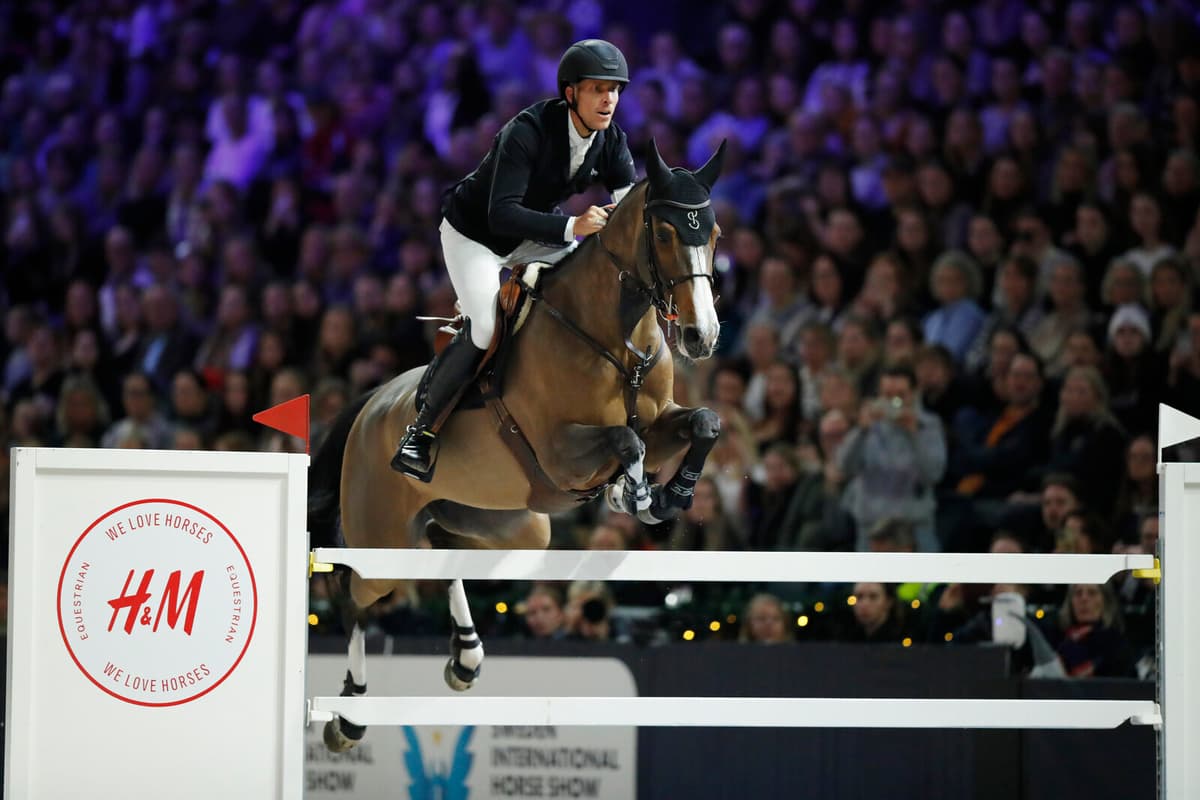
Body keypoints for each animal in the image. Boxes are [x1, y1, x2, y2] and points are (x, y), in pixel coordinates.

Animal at [309, 139, 727, 752]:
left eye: (714, 232)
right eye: (668, 233)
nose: (702, 336)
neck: (614, 337)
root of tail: (369, 406)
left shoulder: (661, 423)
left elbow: (703, 423)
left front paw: (670, 497)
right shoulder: (559, 454)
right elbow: (625, 440)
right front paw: (634, 495)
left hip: (508, 527)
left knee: (442, 555)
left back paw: (466, 656)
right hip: (381, 535)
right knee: (351, 592)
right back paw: (351, 714)